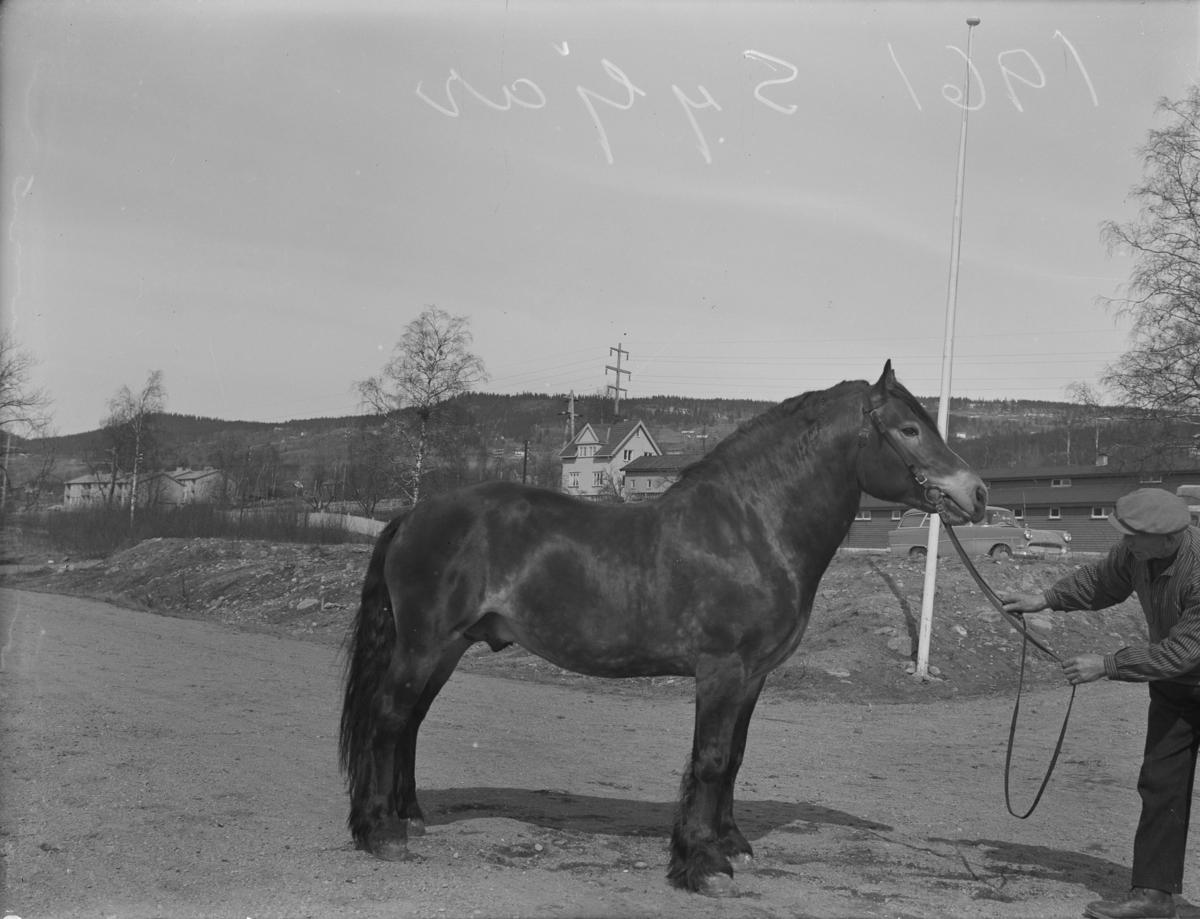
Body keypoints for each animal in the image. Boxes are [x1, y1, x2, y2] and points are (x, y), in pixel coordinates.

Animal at [340, 364, 984, 897]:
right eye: (908, 429)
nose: (975, 493)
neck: (750, 528)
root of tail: (414, 514)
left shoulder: (752, 677)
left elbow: (735, 757)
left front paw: (730, 845)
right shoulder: (722, 671)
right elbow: (711, 759)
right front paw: (703, 864)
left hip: (447, 648)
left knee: (410, 723)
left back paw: (409, 817)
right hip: (423, 645)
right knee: (389, 719)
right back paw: (381, 833)